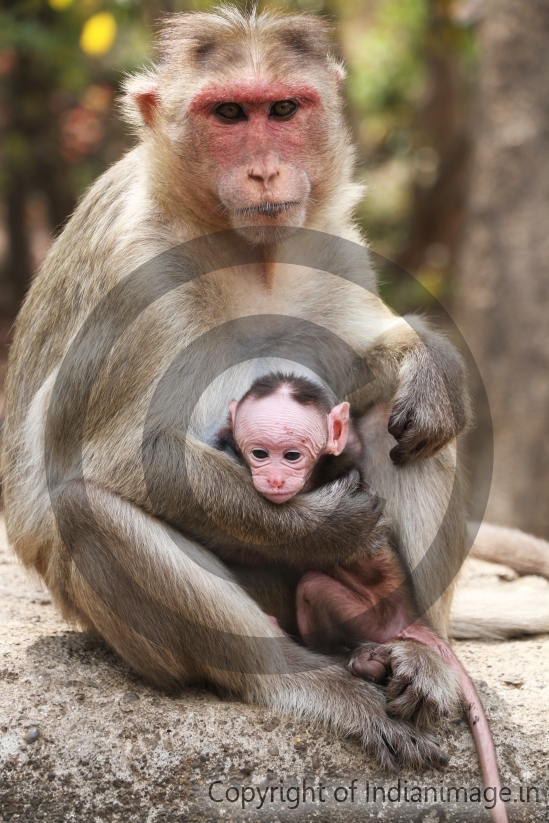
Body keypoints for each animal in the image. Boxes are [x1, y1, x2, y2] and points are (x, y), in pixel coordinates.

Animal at [0, 9, 470, 776]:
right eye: (227, 114)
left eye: (281, 110)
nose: (264, 168)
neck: (248, 249)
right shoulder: (135, 268)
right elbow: (114, 454)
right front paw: (324, 525)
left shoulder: (328, 239)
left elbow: (370, 375)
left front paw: (429, 363)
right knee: (87, 505)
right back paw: (300, 679)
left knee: (404, 427)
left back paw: (418, 648)